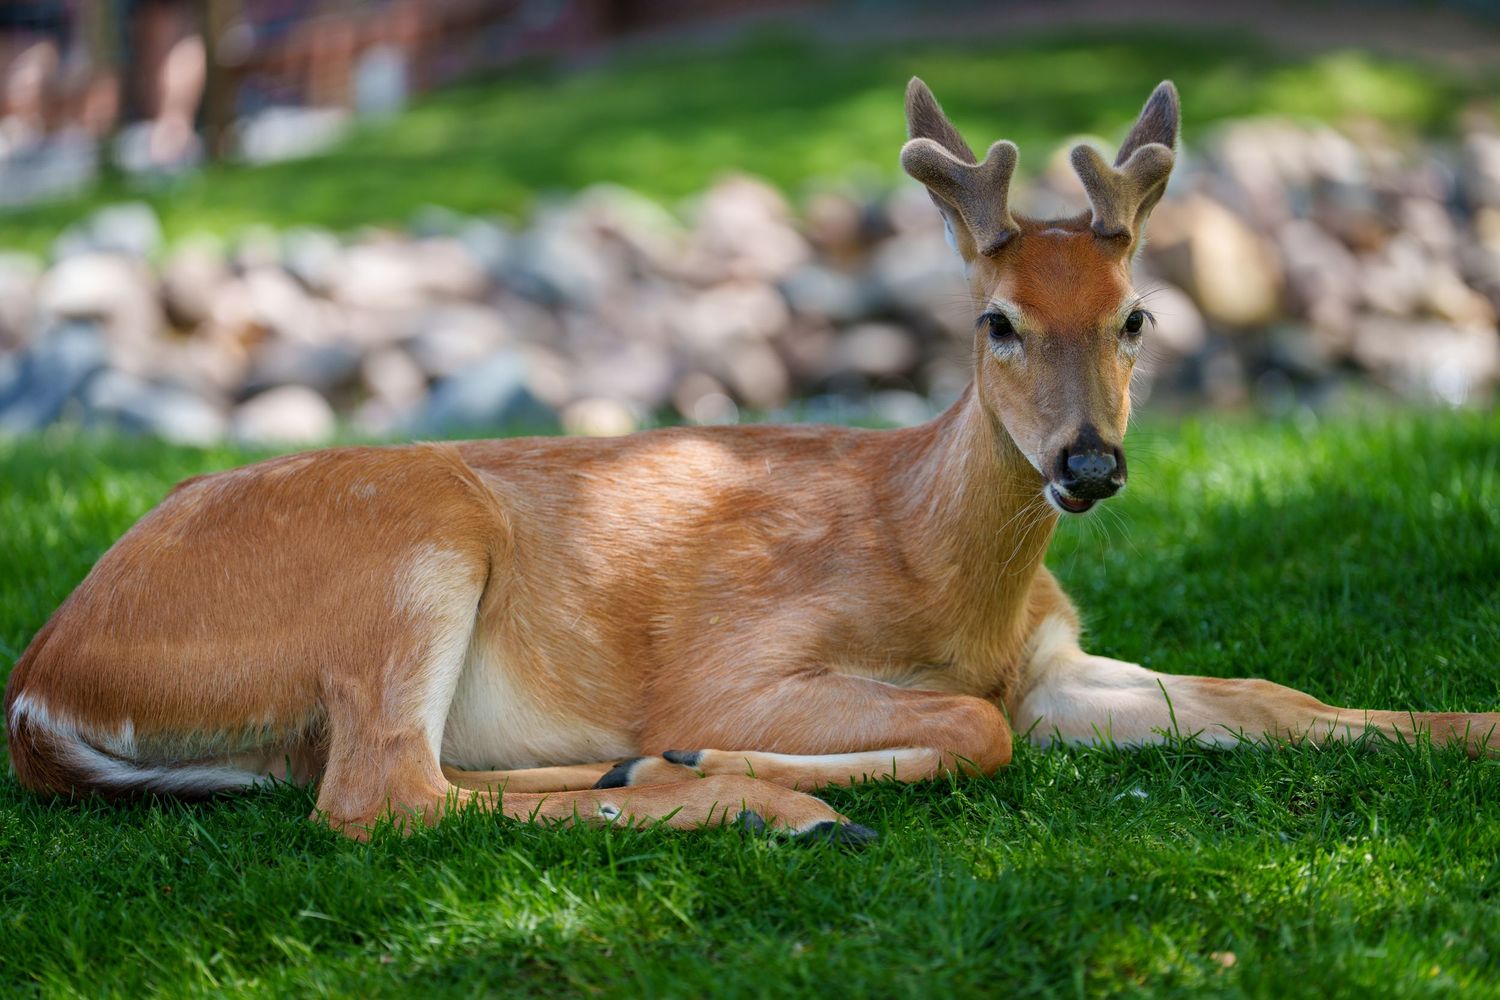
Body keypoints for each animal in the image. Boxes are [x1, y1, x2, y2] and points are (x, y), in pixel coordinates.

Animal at [7, 80, 1498, 843]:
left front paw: (1470, 726)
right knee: (383, 796)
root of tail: (40, 681)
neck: (940, 570)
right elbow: (976, 728)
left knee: (394, 784)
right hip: (408, 539)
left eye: (1137, 315)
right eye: (996, 322)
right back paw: (758, 799)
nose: (1089, 464)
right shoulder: (743, 657)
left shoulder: (1057, 661)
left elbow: (1268, 693)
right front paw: (732, 758)